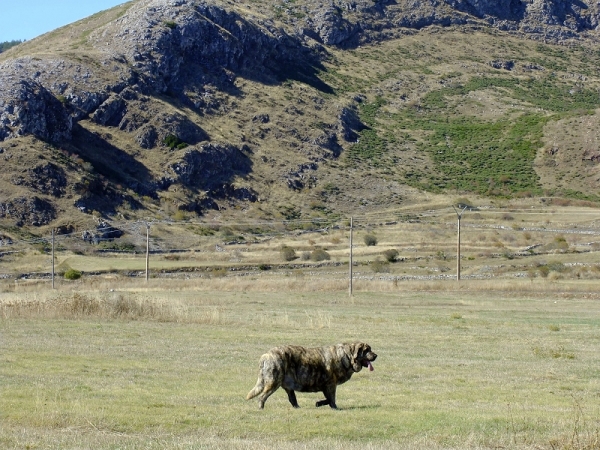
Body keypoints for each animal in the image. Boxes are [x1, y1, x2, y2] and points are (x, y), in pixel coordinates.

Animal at [244, 342, 376, 410]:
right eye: (367, 350)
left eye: (370, 349)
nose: (376, 355)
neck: (346, 356)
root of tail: (266, 355)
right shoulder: (330, 385)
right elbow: (332, 399)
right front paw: (335, 408)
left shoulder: (326, 387)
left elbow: (328, 399)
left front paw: (319, 403)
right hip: (273, 382)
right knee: (262, 397)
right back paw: (261, 408)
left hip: (287, 387)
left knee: (292, 399)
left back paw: (297, 408)